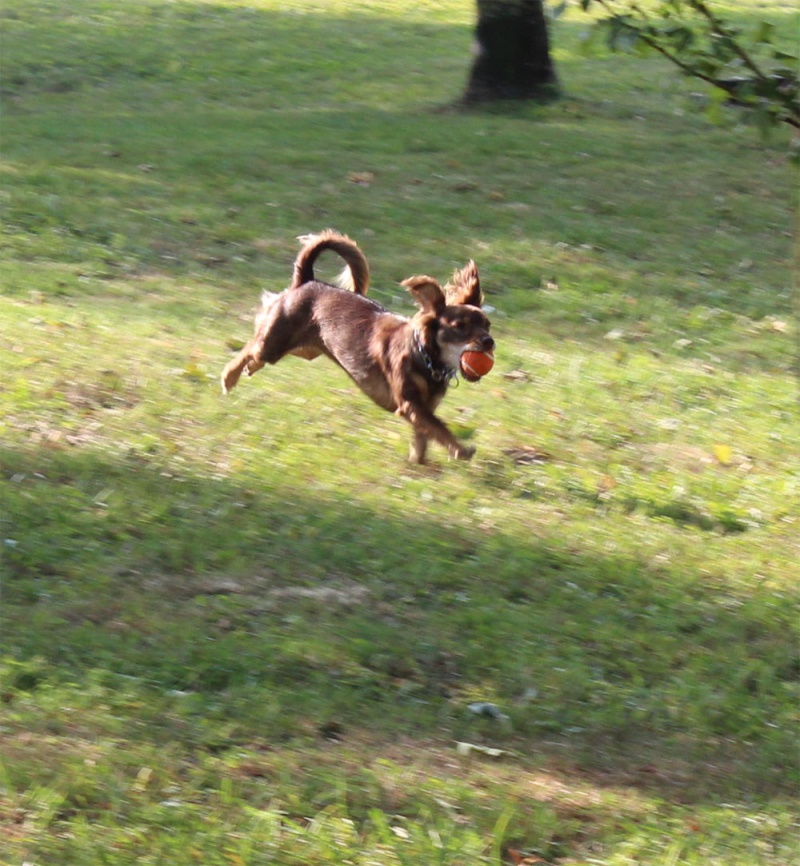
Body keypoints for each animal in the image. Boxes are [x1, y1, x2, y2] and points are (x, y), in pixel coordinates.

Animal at [220, 228, 494, 460]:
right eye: (460, 327)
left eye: (487, 325)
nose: (489, 342)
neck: (425, 357)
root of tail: (307, 281)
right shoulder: (411, 405)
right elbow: (440, 428)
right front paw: (460, 449)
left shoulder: (424, 410)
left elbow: (425, 437)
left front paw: (419, 466)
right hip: (274, 343)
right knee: (250, 347)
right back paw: (229, 377)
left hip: (305, 348)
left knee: (258, 355)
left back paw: (250, 369)